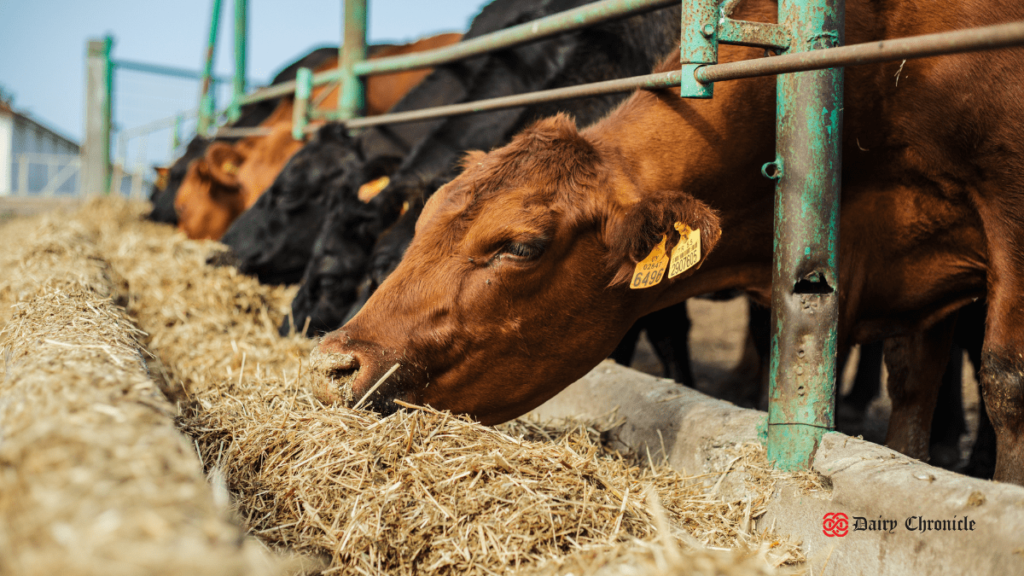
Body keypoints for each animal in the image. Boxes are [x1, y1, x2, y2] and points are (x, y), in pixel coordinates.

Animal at [311, 0, 1024, 483]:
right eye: (423, 224)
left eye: (521, 246)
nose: (332, 365)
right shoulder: (917, 277)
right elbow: (912, 390)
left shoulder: (1005, 195)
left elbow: (1004, 378)